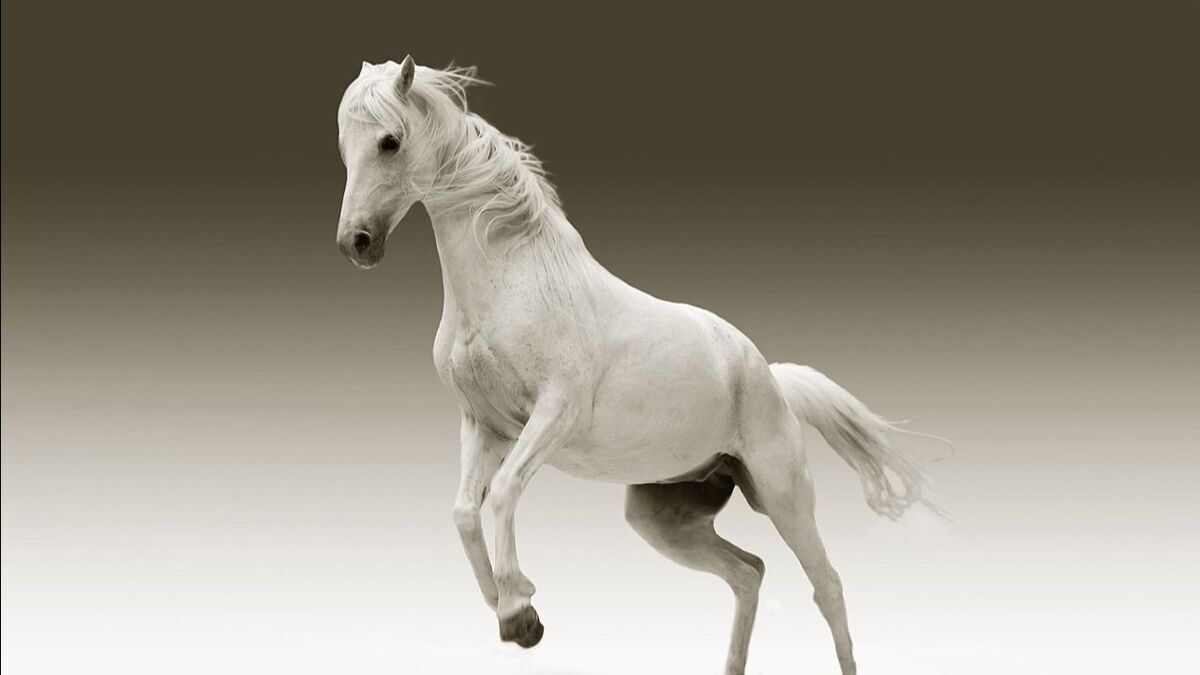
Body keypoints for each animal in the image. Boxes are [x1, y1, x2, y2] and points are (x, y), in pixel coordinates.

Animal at [334, 56, 943, 675]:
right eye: (344, 146)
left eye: (389, 141)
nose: (356, 242)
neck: (513, 280)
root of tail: (768, 376)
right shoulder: (483, 425)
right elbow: (462, 511)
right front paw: (508, 602)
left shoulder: (553, 415)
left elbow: (501, 493)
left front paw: (520, 614)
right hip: (664, 518)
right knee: (748, 573)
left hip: (783, 494)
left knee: (827, 585)